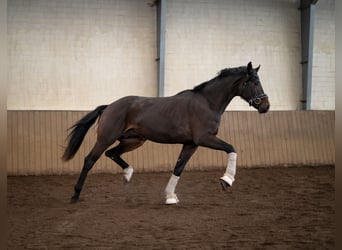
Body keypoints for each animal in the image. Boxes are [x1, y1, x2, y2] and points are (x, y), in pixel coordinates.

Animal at [62, 61, 270, 204]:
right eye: (253, 81)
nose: (266, 106)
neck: (207, 103)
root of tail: (109, 106)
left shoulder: (191, 144)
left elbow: (179, 167)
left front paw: (170, 196)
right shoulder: (204, 138)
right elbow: (231, 148)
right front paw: (227, 180)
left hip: (133, 140)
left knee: (111, 153)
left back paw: (128, 174)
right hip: (106, 138)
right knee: (90, 160)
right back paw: (75, 195)